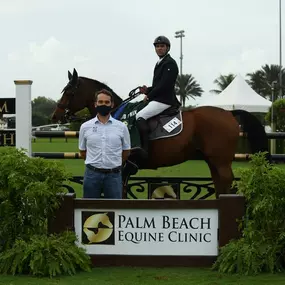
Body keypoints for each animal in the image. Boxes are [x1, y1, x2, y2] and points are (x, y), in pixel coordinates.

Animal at [51, 68, 268, 197]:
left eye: (70, 92)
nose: (56, 116)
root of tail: (229, 113)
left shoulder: (122, 167)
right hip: (213, 161)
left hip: (221, 162)